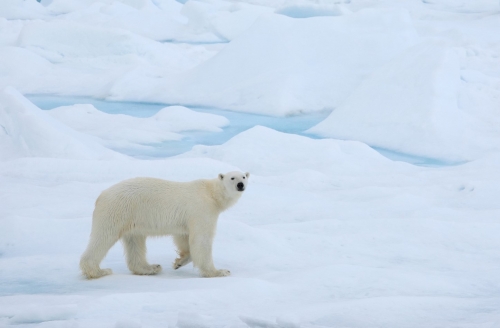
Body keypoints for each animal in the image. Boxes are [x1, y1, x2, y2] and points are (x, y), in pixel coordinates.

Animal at [79, 172, 249, 280]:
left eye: (244, 176)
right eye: (232, 177)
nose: (241, 185)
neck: (211, 193)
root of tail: (101, 195)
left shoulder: (186, 219)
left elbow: (183, 237)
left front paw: (179, 262)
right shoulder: (202, 209)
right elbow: (201, 240)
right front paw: (219, 271)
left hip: (133, 217)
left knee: (135, 241)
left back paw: (151, 267)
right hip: (118, 211)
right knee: (103, 237)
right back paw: (99, 271)